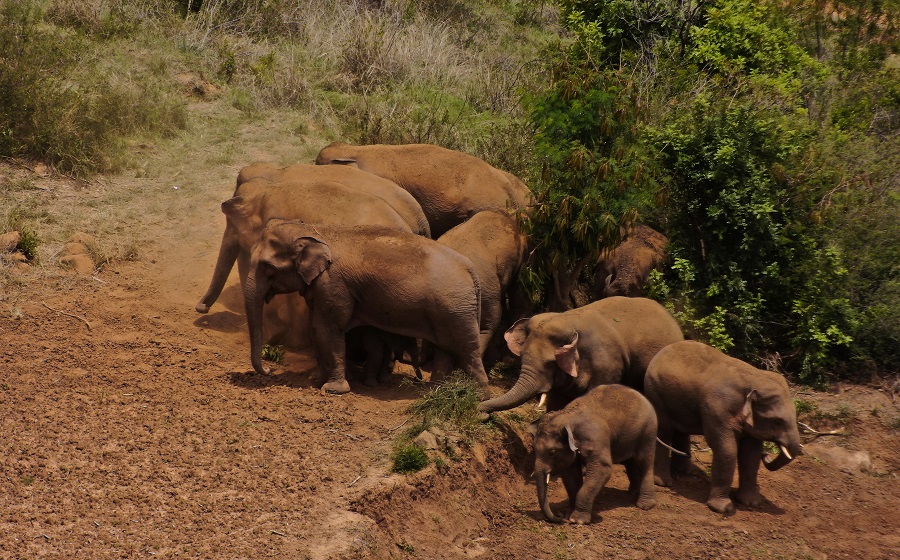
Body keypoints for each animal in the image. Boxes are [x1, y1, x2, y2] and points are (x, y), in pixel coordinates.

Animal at [243, 219, 488, 394]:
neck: (317, 231)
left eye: (268, 267)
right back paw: (435, 392)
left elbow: (327, 329)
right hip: (449, 312)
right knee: (445, 350)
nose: (269, 369)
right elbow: (316, 328)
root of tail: (471, 271)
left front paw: (333, 389)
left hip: (456, 310)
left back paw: (479, 399)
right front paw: (316, 379)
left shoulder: (333, 283)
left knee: (467, 351)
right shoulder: (320, 287)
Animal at [478, 298, 684, 416]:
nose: (482, 412)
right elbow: (557, 401)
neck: (569, 319)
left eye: (551, 364)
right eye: (522, 358)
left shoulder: (607, 366)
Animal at [532, 382, 656, 524]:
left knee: (644, 462)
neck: (566, 418)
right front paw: (569, 514)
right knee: (630, 462)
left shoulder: (596, 439)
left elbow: (602, 469)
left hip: (648, 432)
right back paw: (632, 493)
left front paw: (577, 520)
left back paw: (645, 505)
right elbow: (570, 474)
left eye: (551, 452)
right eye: (533, 448)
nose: (559, 516)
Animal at [644, 340, 804, 516]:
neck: (754, 378)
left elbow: (751, 454)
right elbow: (726, 449)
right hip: (656, 392)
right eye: (777, 421)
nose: (767, 455)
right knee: (664, 430)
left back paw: (686, 472)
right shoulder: (717, 408)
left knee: (681, 430)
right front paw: (723, 508)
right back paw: (663, 482)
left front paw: (751, 503)